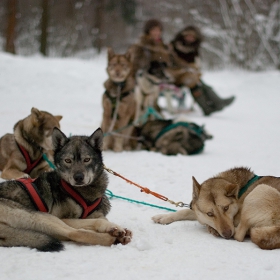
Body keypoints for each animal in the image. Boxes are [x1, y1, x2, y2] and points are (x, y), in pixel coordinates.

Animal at [0, 127, 132, 252]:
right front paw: (114, 228)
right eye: (68, 161)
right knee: (76, 233)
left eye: (87, 159)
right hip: (43, 217)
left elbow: (98, 218)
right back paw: (113, 236)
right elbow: (98, 221)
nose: (78, 177)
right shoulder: (63, 217)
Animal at [152, 167, 280, 250]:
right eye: (210, 214)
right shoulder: (199, 213)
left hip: (260, 189)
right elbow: (184, 211)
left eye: (226, 208)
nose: (227, 234)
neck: (240, 194)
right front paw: (163, 217)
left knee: (239, 235)